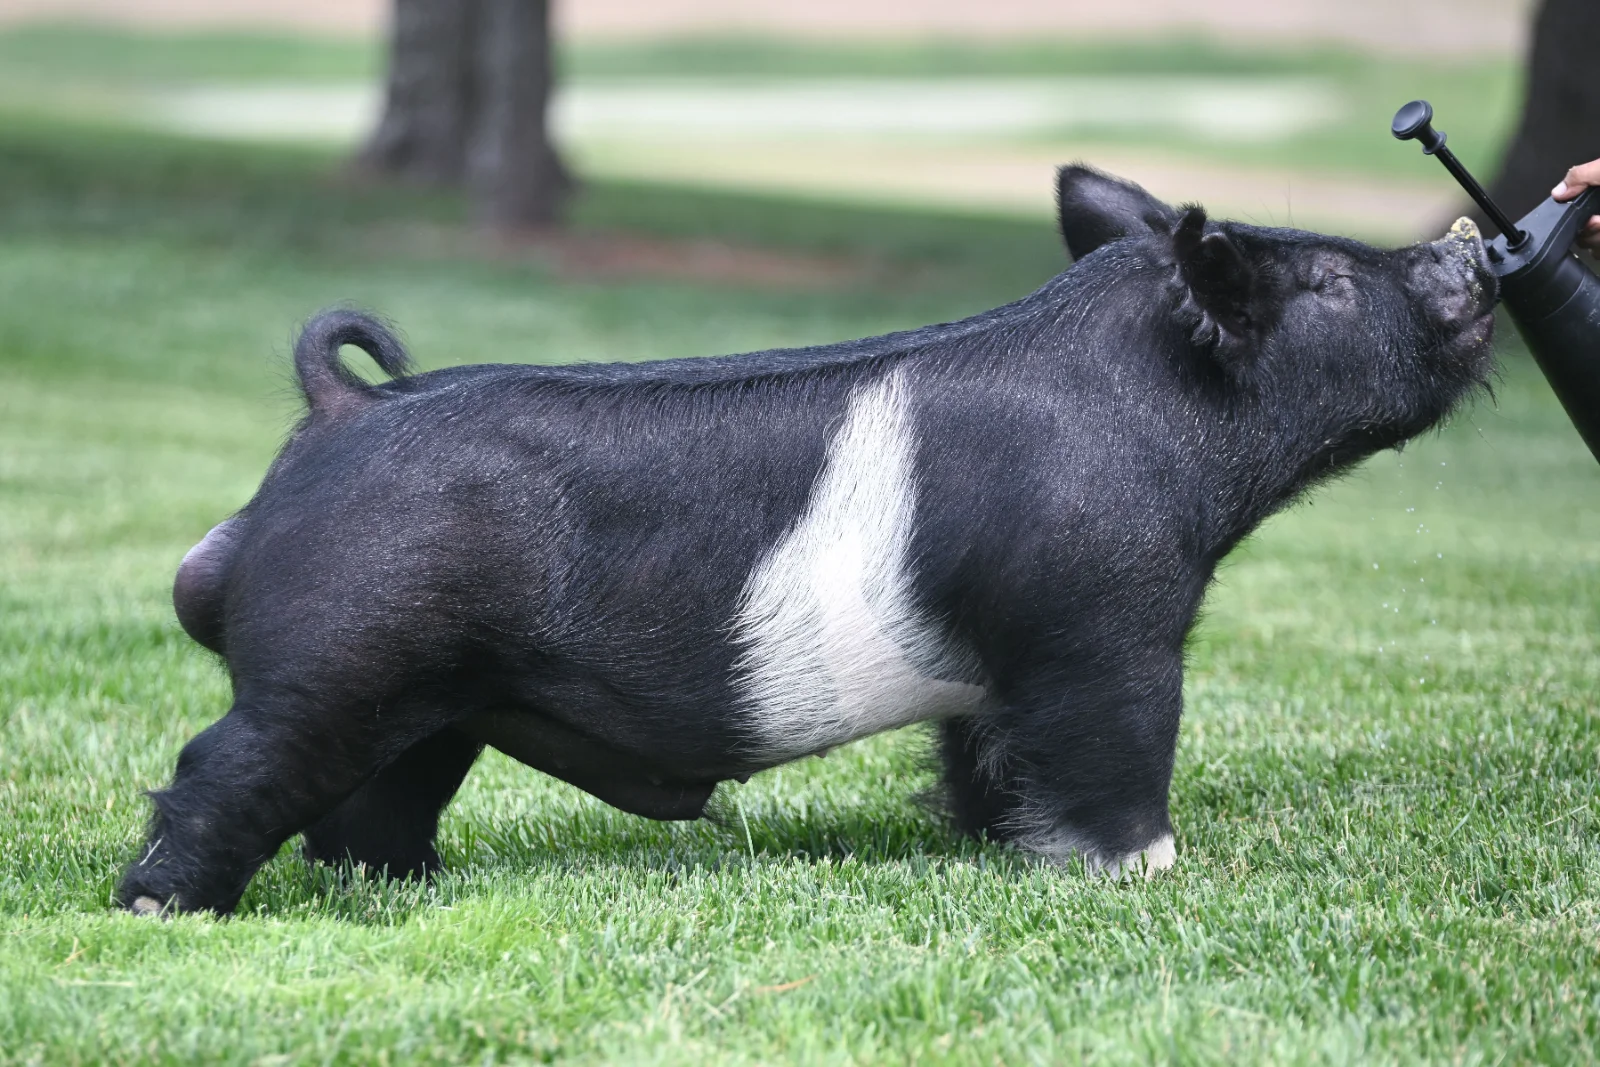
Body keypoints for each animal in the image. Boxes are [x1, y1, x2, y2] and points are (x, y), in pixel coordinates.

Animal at [119, 167, 1497, 915]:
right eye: (1325, 284)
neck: (1158, 412)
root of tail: (337, 412)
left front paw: (989, 843)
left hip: (432, 696)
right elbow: (1120, 743)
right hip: (340, 650)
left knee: (371, 806)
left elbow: (988, 756)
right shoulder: (1104, 620)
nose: (1466, 257)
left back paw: (409, 887)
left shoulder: (1000, 670)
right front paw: (1145, 871)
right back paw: (163, 907)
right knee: (223, 765)